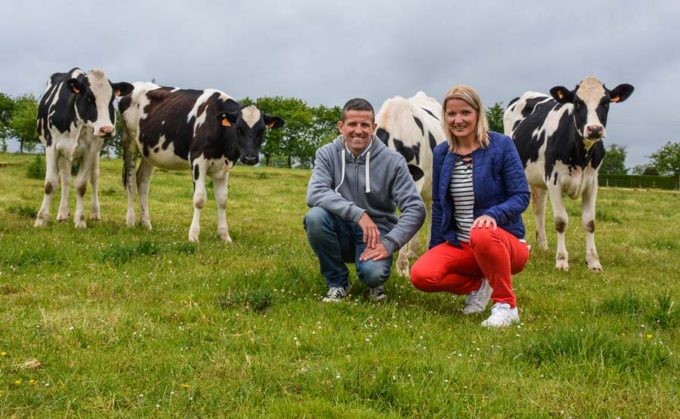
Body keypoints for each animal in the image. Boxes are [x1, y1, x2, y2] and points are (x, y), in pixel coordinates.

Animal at [34, 67, 134, 228]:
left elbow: (81, 185)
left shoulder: (90, 150)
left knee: (94, 177)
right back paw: (62, 214)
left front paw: (80, 220)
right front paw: (41, 220)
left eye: (111, 100)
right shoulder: (51, 147)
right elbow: (50, 183)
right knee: (65, 178)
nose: (107, 129)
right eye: (88, 98)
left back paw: (95, 213)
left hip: (95, 152)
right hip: (64, 154)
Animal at [118, 83, 282, 243]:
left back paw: (146, 224)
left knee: (143, 182)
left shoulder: (224, 167)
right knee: (130, 182)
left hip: (149, 152)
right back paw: (130, 221)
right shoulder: (198, 160)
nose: (250, 158)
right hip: (130, 142)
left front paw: (225, 236)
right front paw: (193, 235)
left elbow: (222, 200)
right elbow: (199, 199)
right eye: (239, 129)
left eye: (261, 130)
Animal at [502, 76, 636, 270]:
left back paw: (543, 245)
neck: (581, 155)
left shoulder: (592, 183)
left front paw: (593, 261)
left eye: (605, 102)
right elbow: (561, 221)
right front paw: (561, 260)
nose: (594, 129)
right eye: (578, 103)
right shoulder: (553, 180)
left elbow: (590, 222)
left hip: (538, 180)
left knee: (539, 208)